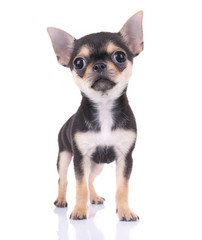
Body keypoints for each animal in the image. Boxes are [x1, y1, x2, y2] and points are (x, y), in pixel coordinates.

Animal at [47, 11, 144, 221]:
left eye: (120, 56)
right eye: (78, 62)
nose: (99, 65)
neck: (104, 106)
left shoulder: (125, 158)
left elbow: (122, 187)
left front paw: (125, 211)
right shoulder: (80, 158)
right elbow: (79, 186)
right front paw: (79, 210)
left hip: (97, 164)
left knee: (90, 179)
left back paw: (95, 197)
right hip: (64, 157)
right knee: (64, 179)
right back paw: (62, 200)